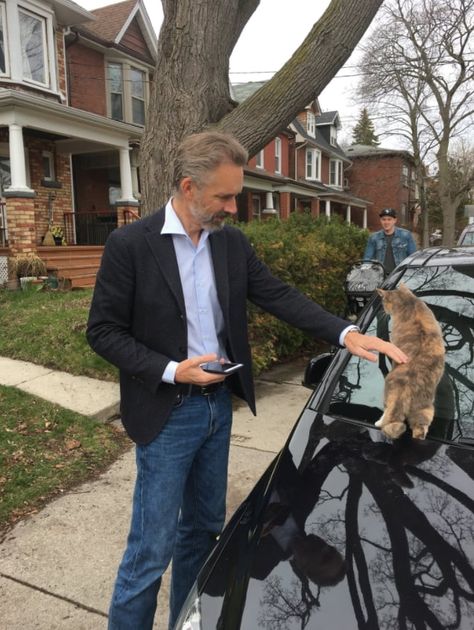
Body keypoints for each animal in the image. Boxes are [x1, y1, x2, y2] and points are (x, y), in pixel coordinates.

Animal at [374, 284, 444, 442]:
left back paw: (378, 422)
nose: (384, 311)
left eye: (383, 302)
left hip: (389, 394)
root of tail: (408, 388)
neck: (408, 302)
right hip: (425, 409)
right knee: (420, 428)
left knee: (388, 416)